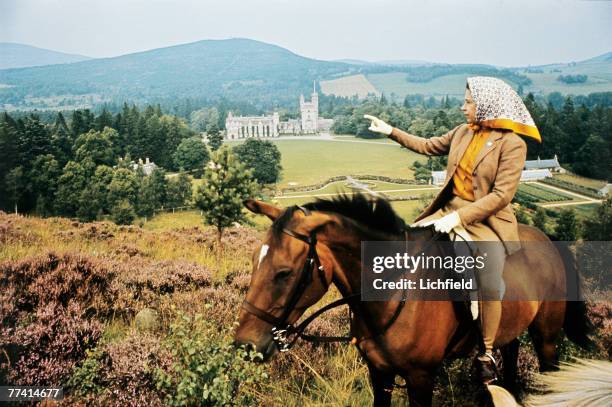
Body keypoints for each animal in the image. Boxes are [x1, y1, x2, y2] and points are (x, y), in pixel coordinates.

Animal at [234, 195, 592, 407]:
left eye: (283, 273)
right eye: (252, 260)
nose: (245, 346)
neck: (391, 292)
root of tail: (548, 241)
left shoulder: (421, 378)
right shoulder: (379, 374)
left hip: (546, 337)